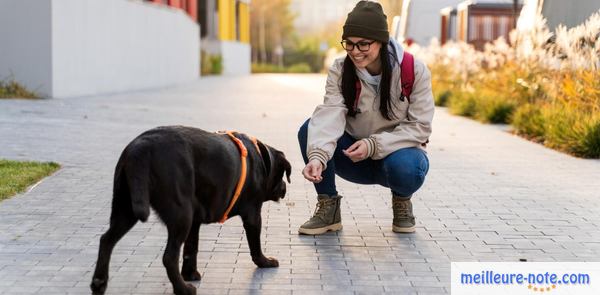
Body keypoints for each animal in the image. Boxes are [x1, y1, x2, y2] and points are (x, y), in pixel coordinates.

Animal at [89, 126, 292, 295]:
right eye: (282, 174)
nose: (284, 187)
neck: (262, 159)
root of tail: (140, 148)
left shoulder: (195, 220)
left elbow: (191, 248)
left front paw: (190, 273)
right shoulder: (252, 213)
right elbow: (255, 244)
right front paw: (265, 262)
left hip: (126, 209)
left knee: (106, 240)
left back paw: (99, 282)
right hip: (181, 215)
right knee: (169, 257)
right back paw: (182, 289)